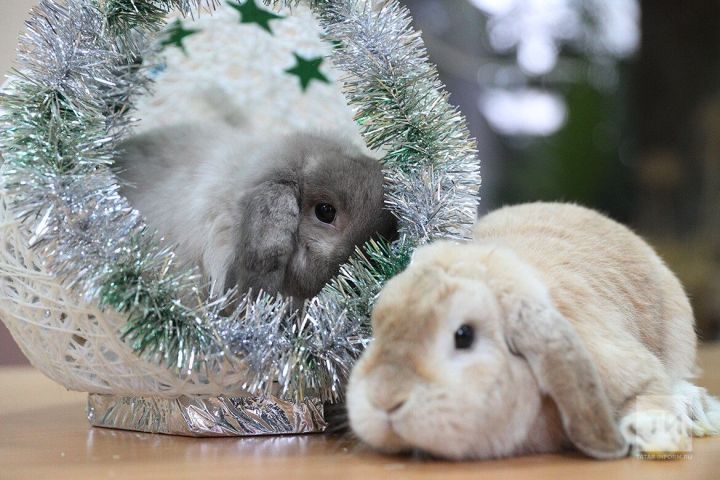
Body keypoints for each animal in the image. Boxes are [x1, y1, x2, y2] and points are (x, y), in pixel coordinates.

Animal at [347, 202, 720, 460]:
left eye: (464, 335)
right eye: (378, 325)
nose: (384, 398)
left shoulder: (633, 370)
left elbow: (651, 392)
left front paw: (655, 433)